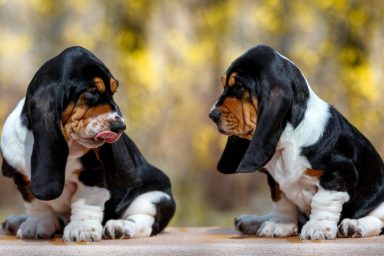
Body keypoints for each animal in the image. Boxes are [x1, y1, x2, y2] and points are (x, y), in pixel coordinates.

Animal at [0, 46, 175, 242]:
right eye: (91, 91)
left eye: (113, 91)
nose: (120, 126)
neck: (70, 144)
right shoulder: (22, 178)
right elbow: (36, 203)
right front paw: (37, 224)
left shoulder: (92, 175)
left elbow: (85, 201)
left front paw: (82, 229)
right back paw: (16, 221)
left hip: (155, 196)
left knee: (146, 220)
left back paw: (120, 227)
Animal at [208, 45, 384, 239]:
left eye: (239, 86)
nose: (212, 115)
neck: (288, 141)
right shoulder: (275, 181)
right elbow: (281, 201)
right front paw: (280, 224)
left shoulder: (339, 172)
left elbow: (323, 201)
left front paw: (317, 228)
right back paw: (251, 221)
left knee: (378, 219)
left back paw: (354, 225)